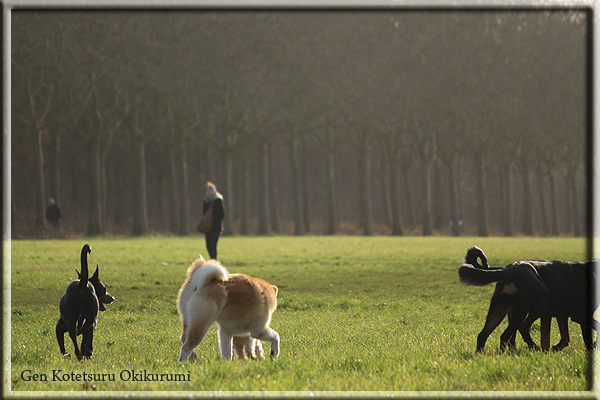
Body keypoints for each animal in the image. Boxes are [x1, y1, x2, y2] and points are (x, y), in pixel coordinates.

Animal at [460, 245, 596, 352]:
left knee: (486, 335)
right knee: (518, 330)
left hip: (502, 310)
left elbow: (563, 339)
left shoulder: (559, 316)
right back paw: (532, 348)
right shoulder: (579, 315)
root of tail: (509, 270)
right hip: (536, 306)